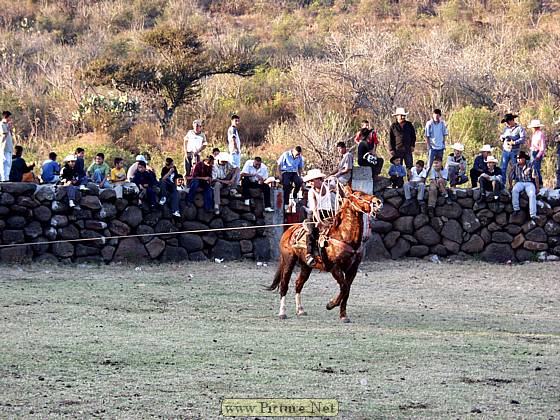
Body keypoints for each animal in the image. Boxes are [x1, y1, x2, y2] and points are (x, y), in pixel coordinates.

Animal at [268, 185, 382, 324]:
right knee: (284, 284)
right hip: (288, 261)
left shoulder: (352, 269)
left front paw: (343, 315)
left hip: (306, 266)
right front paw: (330, 304)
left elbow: (347, 290)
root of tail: (289, 230)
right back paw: (282, 313)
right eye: (359, 196)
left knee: (298, 283)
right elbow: (344, 287)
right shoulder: (335, 267)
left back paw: (300, 310)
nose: (378, 202)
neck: (344, 236)